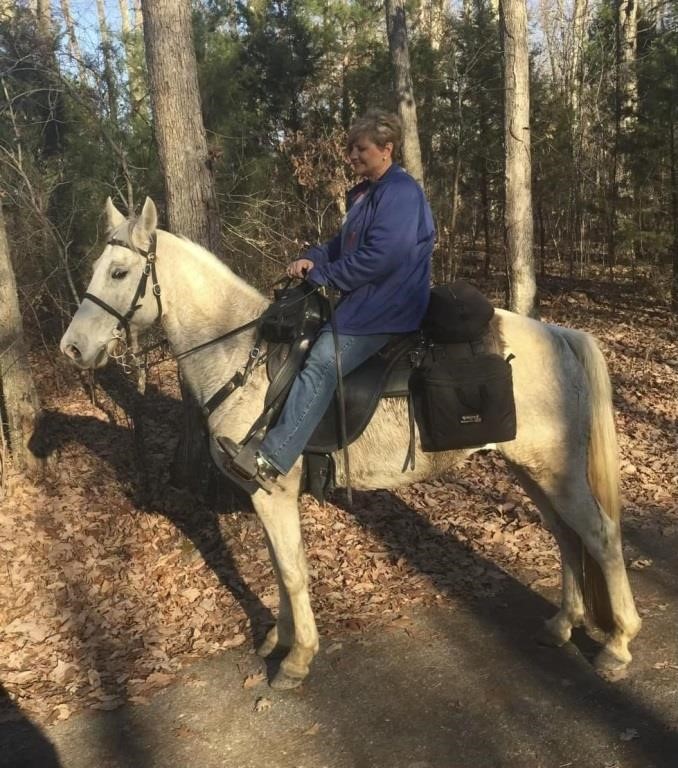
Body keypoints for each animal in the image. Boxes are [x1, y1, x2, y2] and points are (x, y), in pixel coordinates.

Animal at [59, 198, 644, 688]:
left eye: (119, 271)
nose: (73, 348)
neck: (242, 357)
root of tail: (561, 336)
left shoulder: (273, 492)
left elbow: (292, 572)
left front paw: (296, 659)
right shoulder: (266, 497)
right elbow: (279, 568)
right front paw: (279, 640)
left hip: (557, 470)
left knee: (599, 535)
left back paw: (617, 645)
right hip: (532, 469)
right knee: (567, 537)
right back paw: (562, 624)